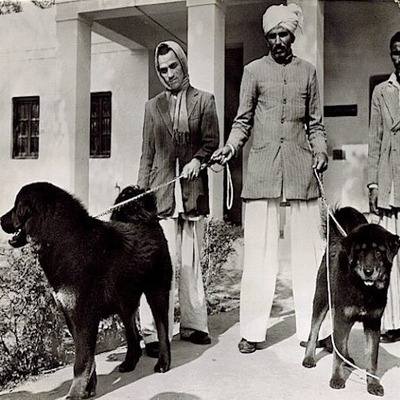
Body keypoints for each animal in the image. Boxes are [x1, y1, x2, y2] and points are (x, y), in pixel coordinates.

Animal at [304, 208, 400, 396]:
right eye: (360, 252)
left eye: (379, 252)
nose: (368, 271)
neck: (364, 289)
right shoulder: (343, 316)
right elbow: (337, 352)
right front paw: (337, 379)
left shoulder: (372, 323)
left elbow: (372, 358)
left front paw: (373, 384)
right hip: (321, 300)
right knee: (314, 331)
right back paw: (309, 357)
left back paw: (345, 357)